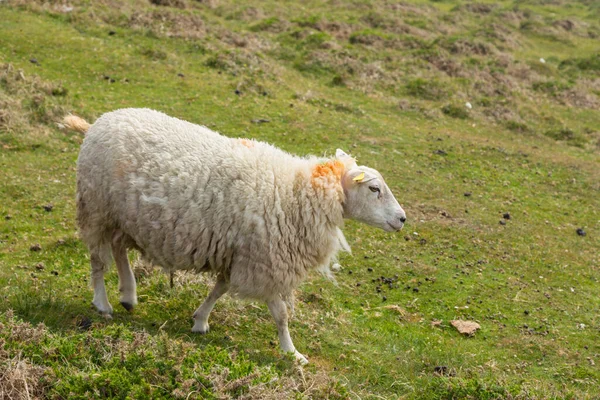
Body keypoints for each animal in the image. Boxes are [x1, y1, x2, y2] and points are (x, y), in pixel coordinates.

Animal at [63, 108, 406, 364]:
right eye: (374, 189)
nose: (402, 219)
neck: (299, 192)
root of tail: (97, 123)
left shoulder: (239, 252)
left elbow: (220, 289)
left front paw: (200, 320)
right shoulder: (266, 261)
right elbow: (280, 314)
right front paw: (292, 353)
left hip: (123, 217)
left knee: (118, 249)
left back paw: (129, 294)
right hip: (96, 207)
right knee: (97, 260)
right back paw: (103, 303)